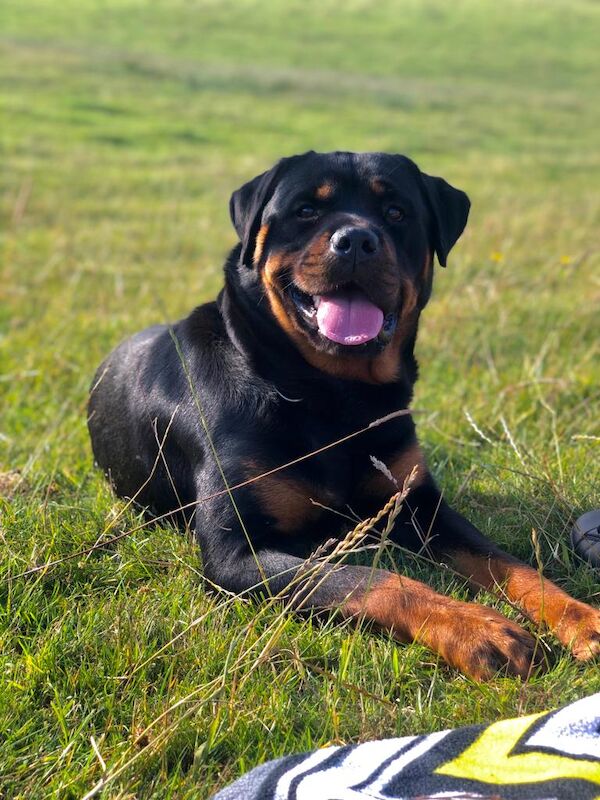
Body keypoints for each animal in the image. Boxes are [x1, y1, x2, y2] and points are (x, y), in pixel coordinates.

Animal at [88, 152, 600, 680]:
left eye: (396, 212)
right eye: (306, 211)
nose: (356, 239)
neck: (330, 395)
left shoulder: (418, 504)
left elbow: (508, 562)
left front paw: (582, 616)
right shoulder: (236, 553)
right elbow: (369, 578)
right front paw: (479, 628)